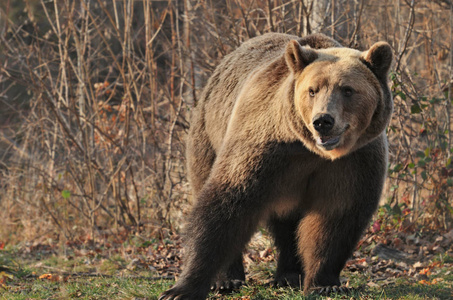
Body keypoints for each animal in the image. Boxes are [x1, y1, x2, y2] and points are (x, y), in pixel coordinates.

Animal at [159, 32, 392, 300]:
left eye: (347, 90)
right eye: (312, 90)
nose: (323, 121)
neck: (310, 150)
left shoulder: (353, 162)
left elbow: (335, 216)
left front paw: (324, 283)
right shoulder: (266, 148)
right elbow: (227, 205)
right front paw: (181, 289)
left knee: (288, 224)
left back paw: (289, 275)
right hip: (208, 135)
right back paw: (229, 279)